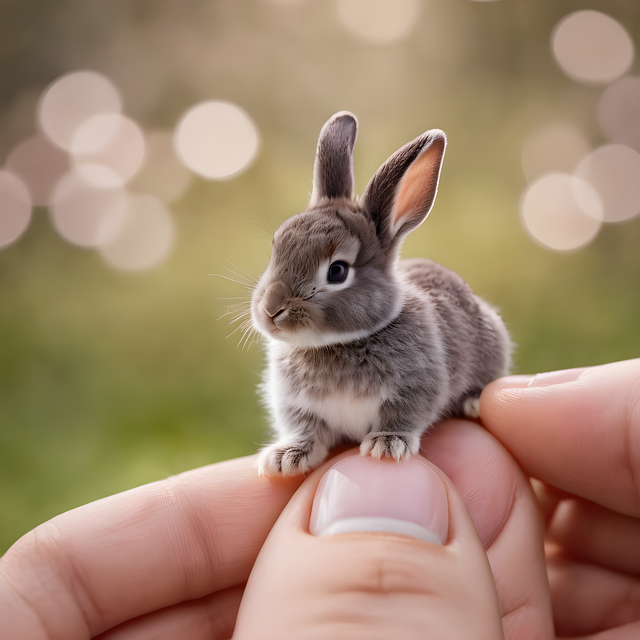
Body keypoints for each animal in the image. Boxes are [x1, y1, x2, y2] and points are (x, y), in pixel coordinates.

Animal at [249, 112, 510, 478]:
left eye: (337, 271)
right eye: (276, 248)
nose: (271, 311)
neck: (335, 343)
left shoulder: (414, 389)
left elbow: (402, 415)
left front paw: (386, 445)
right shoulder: (298, 407)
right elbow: (306, 430)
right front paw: (285, 458)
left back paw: (473, 402)